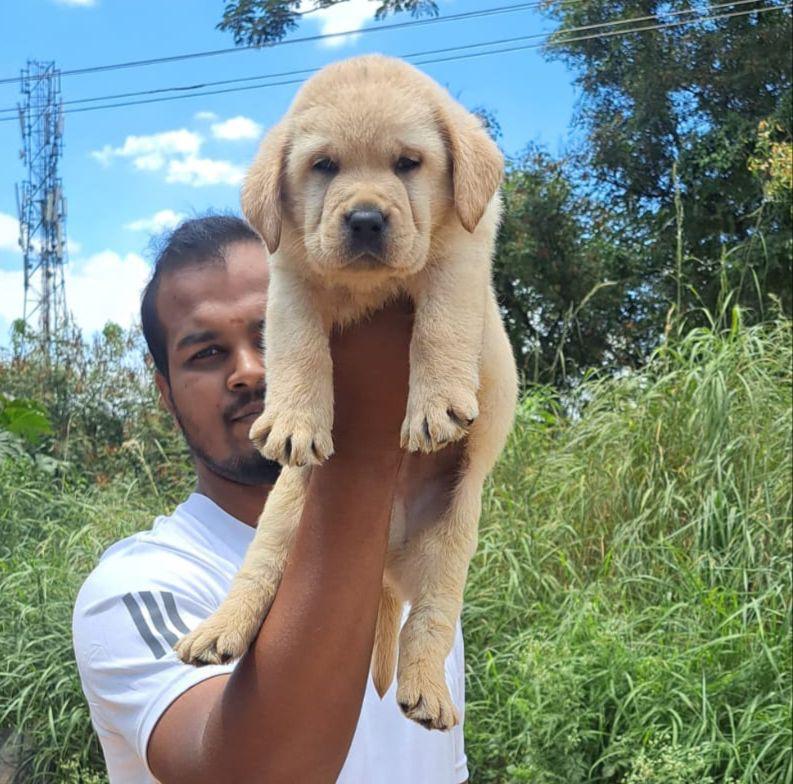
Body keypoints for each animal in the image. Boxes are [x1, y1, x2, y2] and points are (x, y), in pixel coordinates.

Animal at [175, 56, 520, 736]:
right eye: (324, 166)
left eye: (409, 163)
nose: (364, 220)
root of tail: (383, 560)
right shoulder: (289, 282)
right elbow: (300, 348)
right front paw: (293, 421)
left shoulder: (461, 258)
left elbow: (442, 321)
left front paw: (435, 403)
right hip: (286, 519)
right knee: (256, 577)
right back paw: (218, 631)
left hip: (450, 543)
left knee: (429, 624)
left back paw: (427, 692)